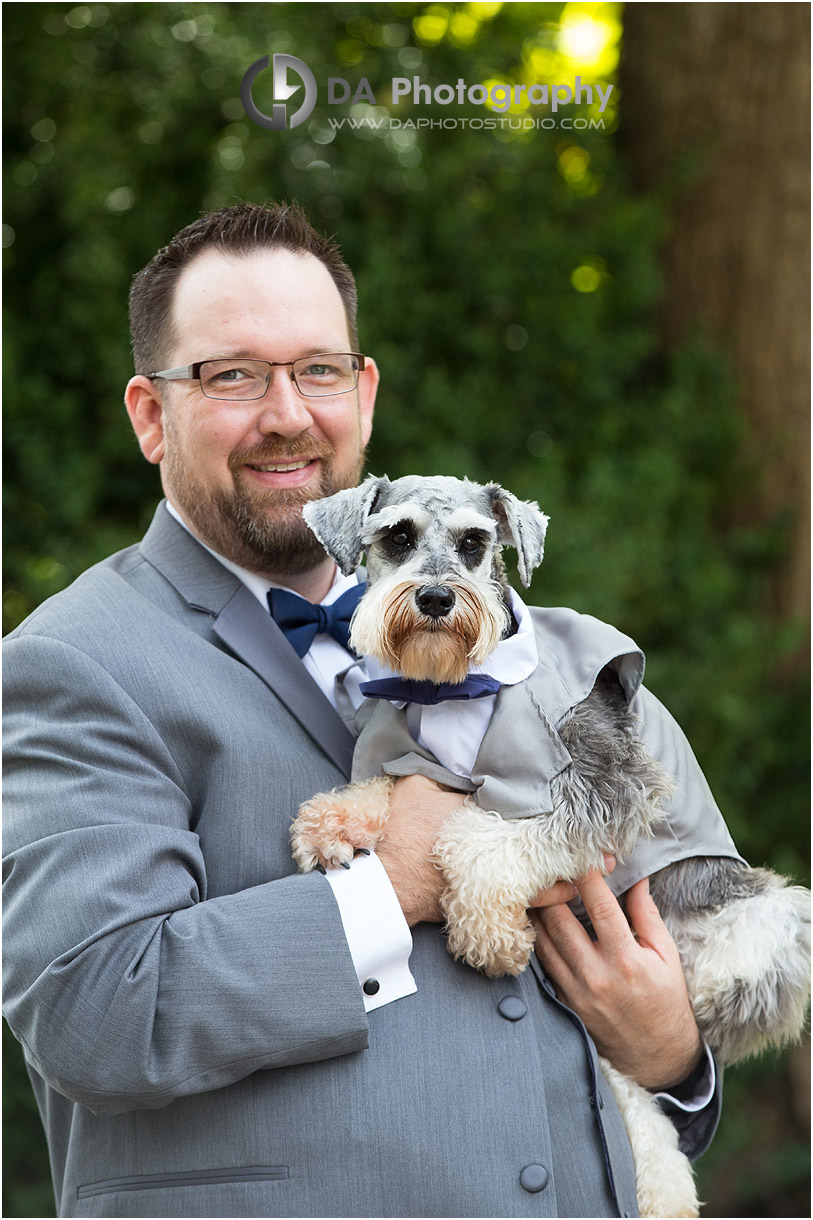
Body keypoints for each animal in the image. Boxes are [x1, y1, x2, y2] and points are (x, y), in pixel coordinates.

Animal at [288, 470, 805, 1215]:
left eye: (474, 543)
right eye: (397, 536)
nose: (436, 598)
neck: (452, 692)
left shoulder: (606, 789)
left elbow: (482, 835)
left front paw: (489, 934)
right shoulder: (406, 752)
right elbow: (383, 783)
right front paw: (332, 822)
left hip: (759, 915)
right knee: (637, 1106)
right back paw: (664, 1190)